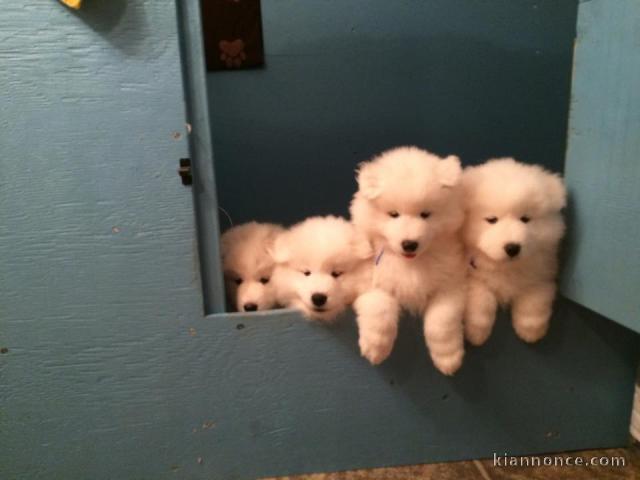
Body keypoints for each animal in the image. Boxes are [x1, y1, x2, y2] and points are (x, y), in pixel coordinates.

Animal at [350, 146, 464, 376]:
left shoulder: (450, 285)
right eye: (394, 214)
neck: (410, 264)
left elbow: (441, 321)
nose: (409, 244)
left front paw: (448, 359)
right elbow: (380, 307)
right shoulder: (369, 281)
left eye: (425, 214)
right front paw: (376, 348)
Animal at [462, 158, 568, 344]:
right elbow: (481, 301)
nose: (512, 247)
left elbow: (534, 302)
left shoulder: (541, 276)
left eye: (525, 219)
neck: (506, 268)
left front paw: (531, 332)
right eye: (492, 219)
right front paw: (476, 334)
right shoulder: (472, 278)